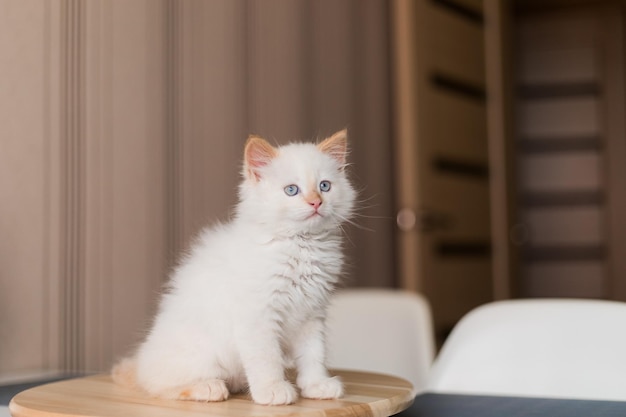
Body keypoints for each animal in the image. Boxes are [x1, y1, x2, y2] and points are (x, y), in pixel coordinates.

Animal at [111, 129, 354, 404]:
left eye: (324, 186)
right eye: (291, 190)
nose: (316, 202)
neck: (302, 245)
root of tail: (141, 361)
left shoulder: (312, 315)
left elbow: (314, 355)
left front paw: (317, 386)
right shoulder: (257, 316)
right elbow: (266, 358)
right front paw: (272, 390)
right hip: (196, 355)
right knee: (160, 386)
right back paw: (210, 387)